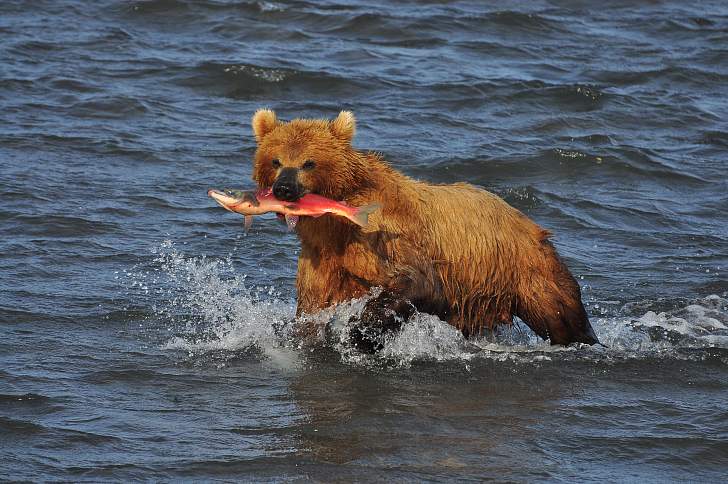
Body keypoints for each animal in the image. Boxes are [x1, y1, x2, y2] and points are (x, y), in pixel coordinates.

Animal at [250, 109, 596, 352]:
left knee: (559, 313)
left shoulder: (385, 237)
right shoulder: (323, 258)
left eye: (309, 162)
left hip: (526, 268)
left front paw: (361, 333)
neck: (335, 223)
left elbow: (416, 281)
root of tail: (527, 219)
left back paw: (585, 341)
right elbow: (312, 307)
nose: (284, 188)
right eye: (276, 160)